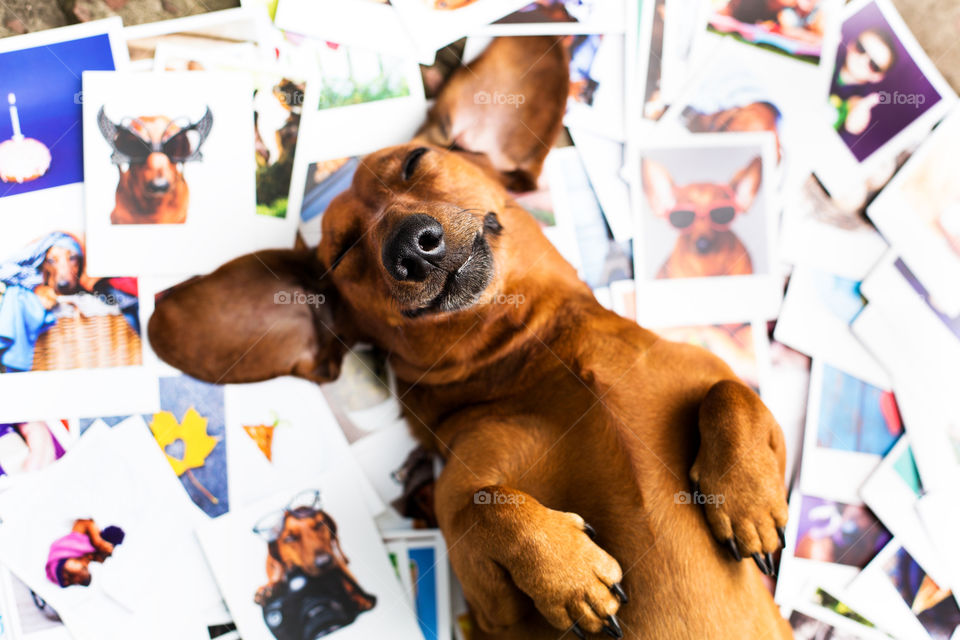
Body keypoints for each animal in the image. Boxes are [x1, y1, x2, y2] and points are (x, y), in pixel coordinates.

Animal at [150, 36, 792, 640]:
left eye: (415, 162)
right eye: (344, 253)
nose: (410, 246)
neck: (543, 350)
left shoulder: (737, 399)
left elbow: (732, 394)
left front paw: (749, 501)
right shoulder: (488, 597)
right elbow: (486, 509)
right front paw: (570, 571)